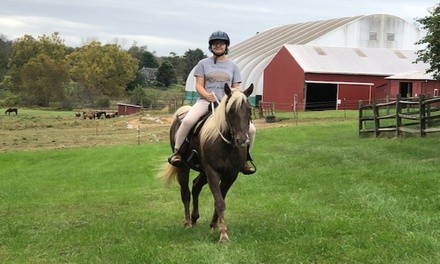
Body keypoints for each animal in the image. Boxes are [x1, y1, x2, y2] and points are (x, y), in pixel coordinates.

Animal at [161, 83, 254, 242]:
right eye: (230, 111)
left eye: (249, 110)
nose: (242, 140)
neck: (226, 145)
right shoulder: (212, 172)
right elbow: (219, 201)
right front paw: (223, 235)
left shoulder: (231, 175)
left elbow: (220, 200)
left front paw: (214, 226)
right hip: (184, 168)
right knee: (185, 192)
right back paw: (188, 223)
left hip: (203, 172)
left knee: (195, 186)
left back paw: (194, 218)